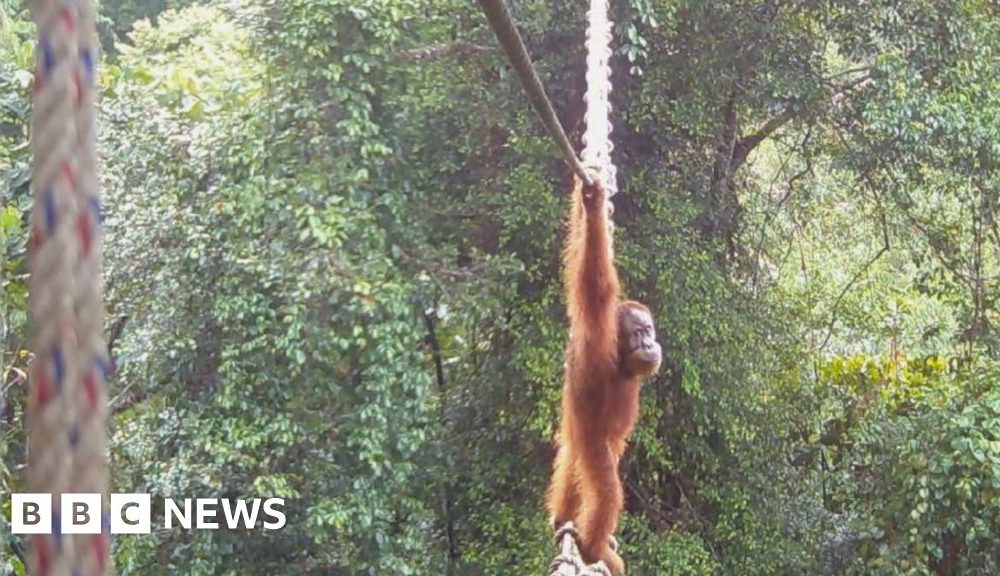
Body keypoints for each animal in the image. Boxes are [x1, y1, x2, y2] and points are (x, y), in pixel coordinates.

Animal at [546, 173, 661, 576]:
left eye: (649, 331)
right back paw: (593, 548)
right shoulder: (598, 332)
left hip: (577, 443)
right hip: (592, 447)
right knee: (607, 491)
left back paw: (563, 522)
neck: (621, 361)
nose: (651, 343)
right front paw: (594, 206)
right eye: (639, 333)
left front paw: (588, 203)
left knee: (570, 466)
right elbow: (595, 280)